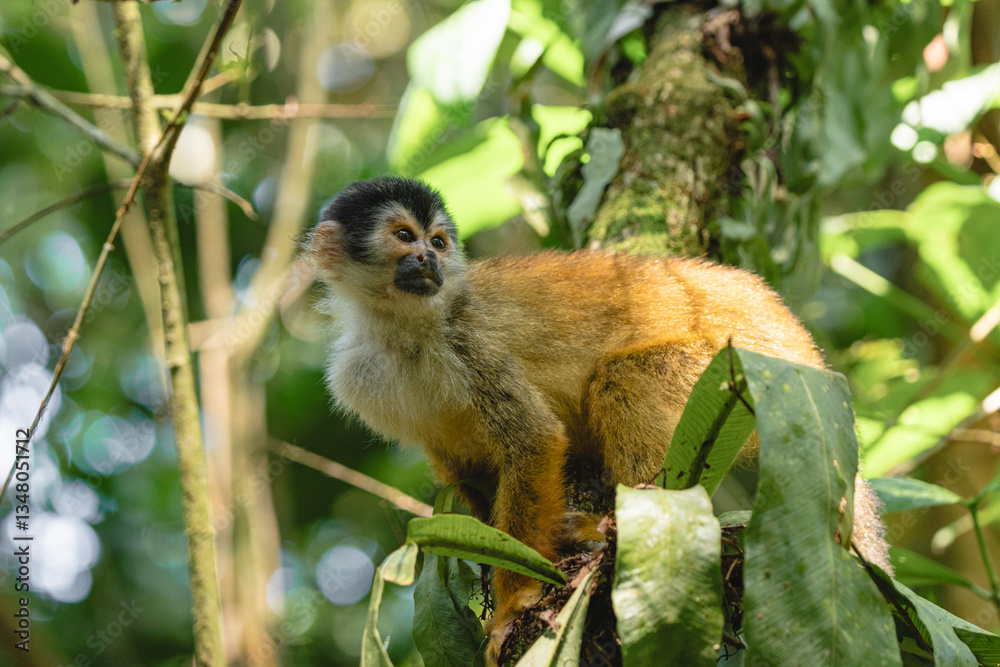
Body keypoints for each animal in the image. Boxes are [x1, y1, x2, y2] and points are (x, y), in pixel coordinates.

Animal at [308, 175, 891, 663]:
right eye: (405, 237)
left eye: (438, 242)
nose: (430, 260)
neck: (404, 329)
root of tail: (806, 360)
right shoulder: (359, 381)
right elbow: (465, 471)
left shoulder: (471, 341)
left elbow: (535, 439)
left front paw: (514, 604)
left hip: (741, 372)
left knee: (623, 377)